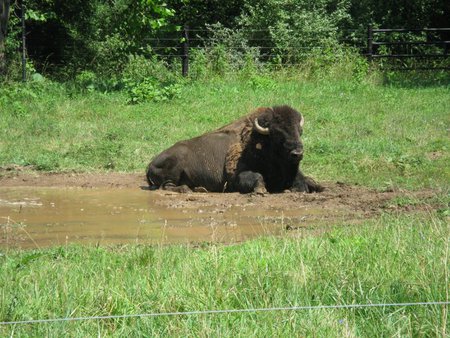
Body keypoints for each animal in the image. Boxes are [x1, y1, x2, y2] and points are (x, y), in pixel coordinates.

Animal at [148, 105, 324, 195]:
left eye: (299, 131)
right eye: (277, 134)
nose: (297, 153)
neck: (258, 142)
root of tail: (150, 164)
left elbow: (307, 179)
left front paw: (319, 187)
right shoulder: (236, 177)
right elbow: (256, 177)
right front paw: (261, 190)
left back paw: (199, 188)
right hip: (174, 168)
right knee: (167, 186)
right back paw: (187, 190)